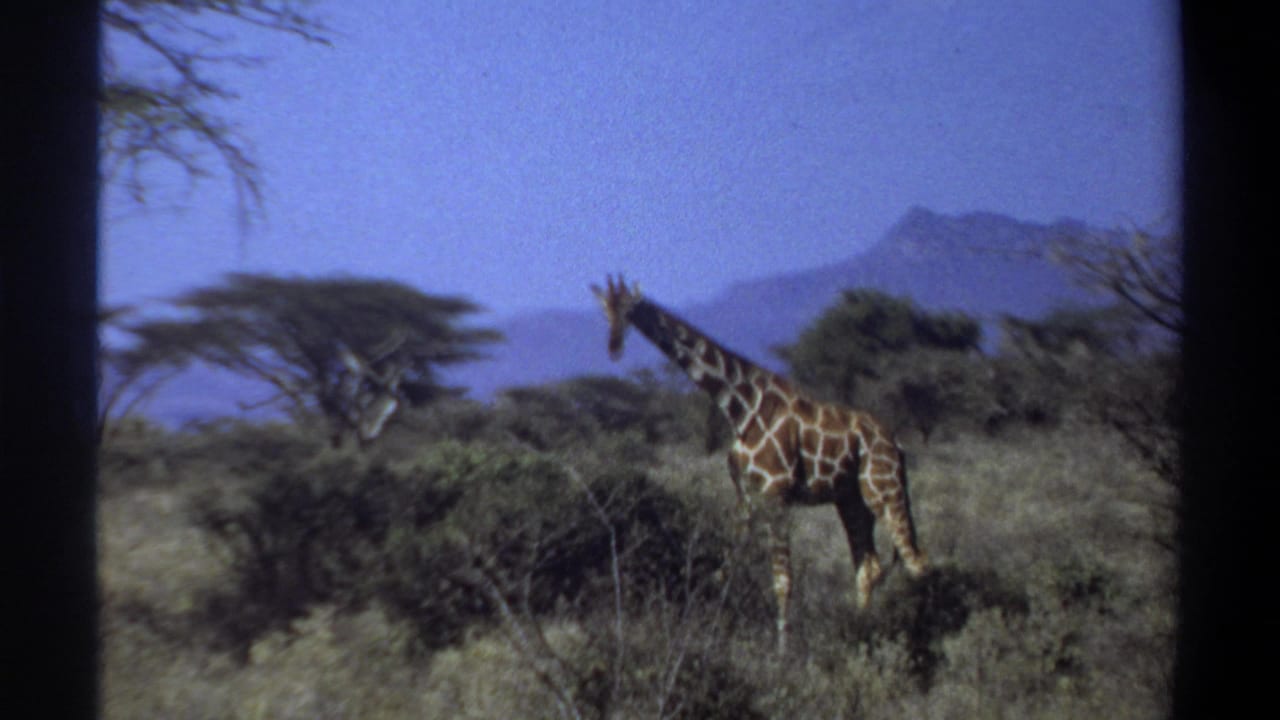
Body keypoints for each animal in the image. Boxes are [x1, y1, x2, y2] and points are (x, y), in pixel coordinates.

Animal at [591, 275, 927, 652]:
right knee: (869, 567)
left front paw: (782, 653)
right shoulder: (746, 497)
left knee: (917, 561)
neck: (739, 407)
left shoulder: (776, 494)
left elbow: (783, 580)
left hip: (883, 489)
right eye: (605, 310)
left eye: (628, 309)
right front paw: (713, 633)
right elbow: (726, 568)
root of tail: (897, 443)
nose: (614, 346)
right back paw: (862, 632)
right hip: (851, 499)